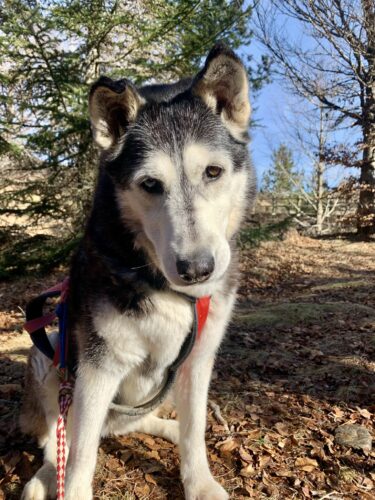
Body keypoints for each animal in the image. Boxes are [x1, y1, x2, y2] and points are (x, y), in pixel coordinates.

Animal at [19, 44, 256, 500]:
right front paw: (72, 488)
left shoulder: (198, 360)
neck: (165, 287)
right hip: (50, 351)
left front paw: (200, 482)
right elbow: (80, 457)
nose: (197, 269)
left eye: (213, 172)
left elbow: (195, 431)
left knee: (137, 423)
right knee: (58, 440)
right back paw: (45, 477)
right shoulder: (98, 368)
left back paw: (168, 428)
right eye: (150, 184)